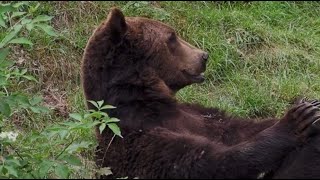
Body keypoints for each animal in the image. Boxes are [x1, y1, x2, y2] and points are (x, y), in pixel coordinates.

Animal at [81, 7, 320, 179]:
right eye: (172, 37)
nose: (204, 55)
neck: (149, 101)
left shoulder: (201, 117)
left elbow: (238, 128)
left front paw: (310, 106)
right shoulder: (138, 138)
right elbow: (210, 163)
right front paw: (295, 120)